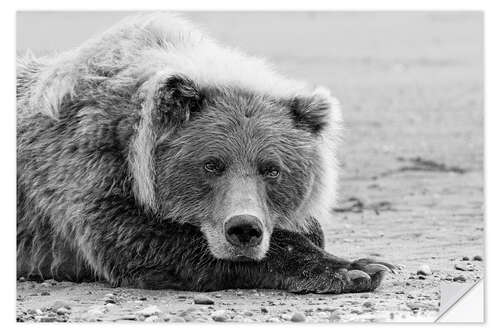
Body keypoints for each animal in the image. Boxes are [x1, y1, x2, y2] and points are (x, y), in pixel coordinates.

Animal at [16, 14, 394, 292]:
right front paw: (355, 269)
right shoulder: (87, 168)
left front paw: (364, 262)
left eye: (272, 169)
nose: (244, 229)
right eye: (212, 164)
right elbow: (139, 240)